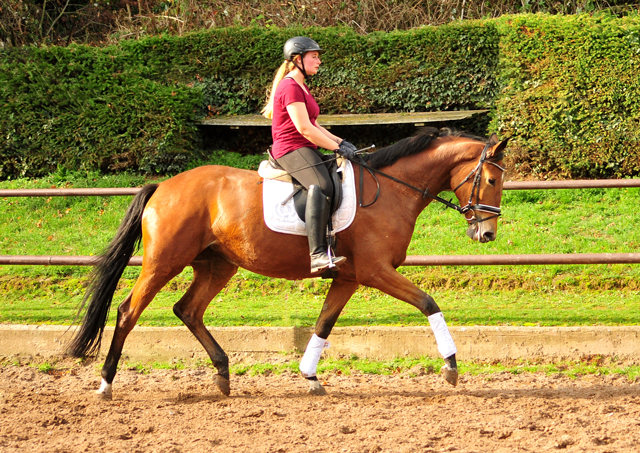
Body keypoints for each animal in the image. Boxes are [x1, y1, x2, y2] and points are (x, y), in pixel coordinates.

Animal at [67, 125, 508, 398]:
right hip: (164, 261)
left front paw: (310, 377)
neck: (389, 190)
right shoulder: (375, 271)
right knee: (128, 311)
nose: (486, 234)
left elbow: (324, 324)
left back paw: (223, 374)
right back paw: (106, 384)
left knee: (188, 310)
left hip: (217, 264)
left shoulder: (348, 277)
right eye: (491, 179)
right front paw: (451, 366)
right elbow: (429, 303)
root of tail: (163, 187)